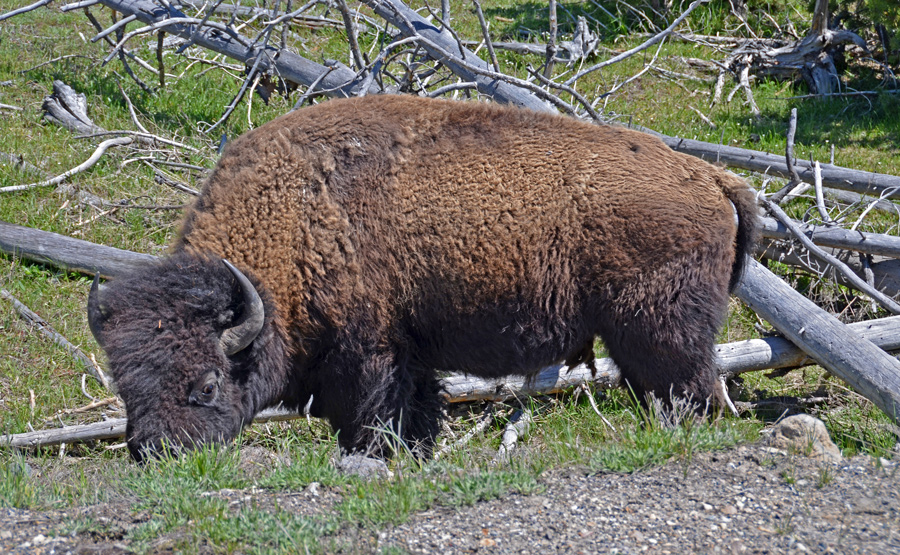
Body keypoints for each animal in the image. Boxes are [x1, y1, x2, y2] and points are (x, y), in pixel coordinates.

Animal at [86, 94, 760, 460]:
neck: (296, 218)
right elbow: (418, 415)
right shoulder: (412, 357)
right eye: (124, 384)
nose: (157, 454)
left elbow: (374, 419)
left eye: (206, 384)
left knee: (692, 390)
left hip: (659, 332)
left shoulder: (370, 354)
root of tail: (711, 178)